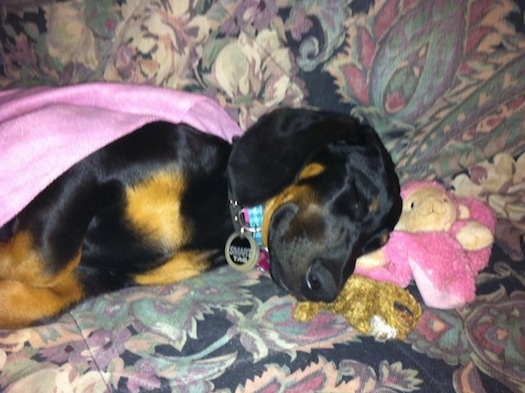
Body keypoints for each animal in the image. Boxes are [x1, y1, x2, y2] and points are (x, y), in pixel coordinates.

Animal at [0, 107, 400, 328]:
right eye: (358, 193)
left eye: (373, 244)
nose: (327, 288)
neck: (223, 208)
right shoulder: (89, 172)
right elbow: (42, 260)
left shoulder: (107, 275)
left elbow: (42, 298)